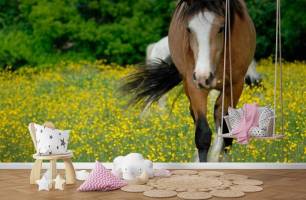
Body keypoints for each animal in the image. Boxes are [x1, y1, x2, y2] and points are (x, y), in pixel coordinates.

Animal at [122, 0, 256, 162]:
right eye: (189, 29)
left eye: (221, 28)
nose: (203, 77)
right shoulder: (194, 85)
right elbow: (203, 135)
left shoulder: (234, 86)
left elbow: (226, 132)